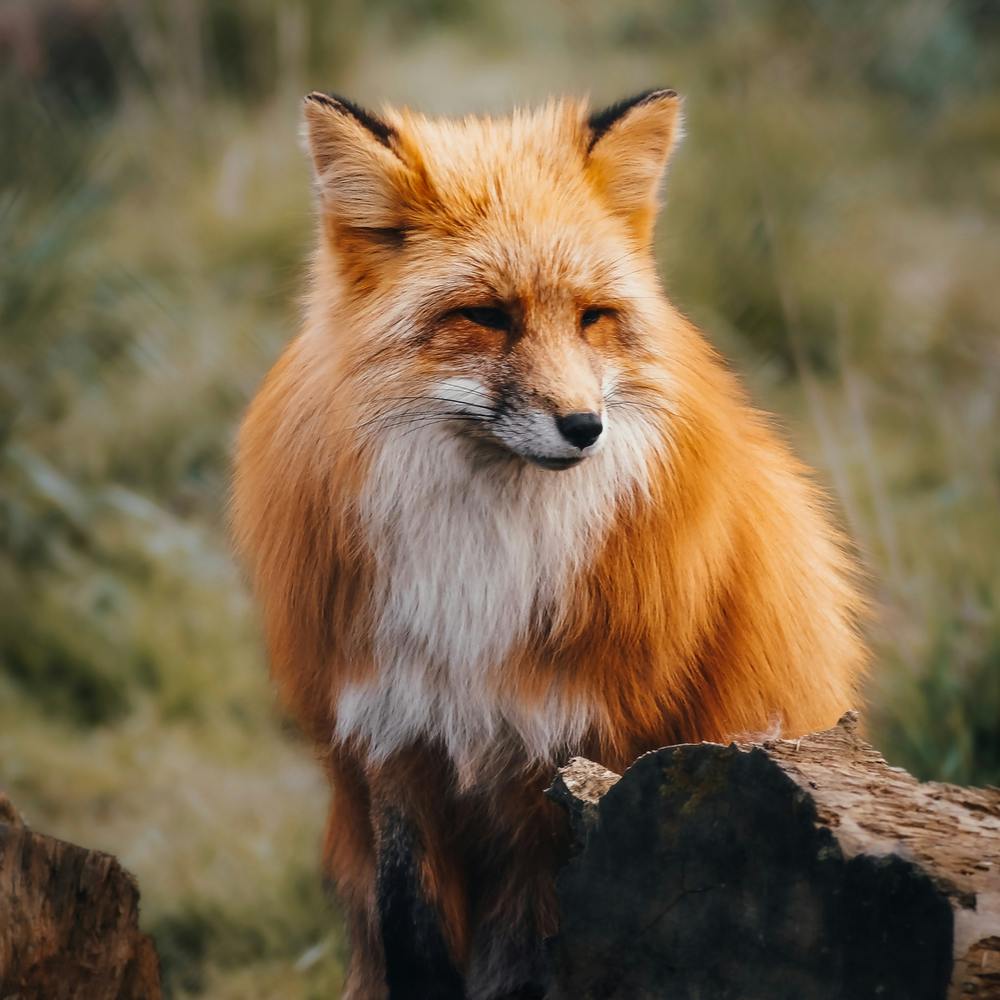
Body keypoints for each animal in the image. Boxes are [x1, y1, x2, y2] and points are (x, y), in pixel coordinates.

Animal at [232, 89, 867, 999]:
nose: (585, 427)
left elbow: (540, 952)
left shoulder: (572, 762)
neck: (478, 571)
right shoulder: (395, 739)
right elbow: (415, 940)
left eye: (594, 318)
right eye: (487, 317)